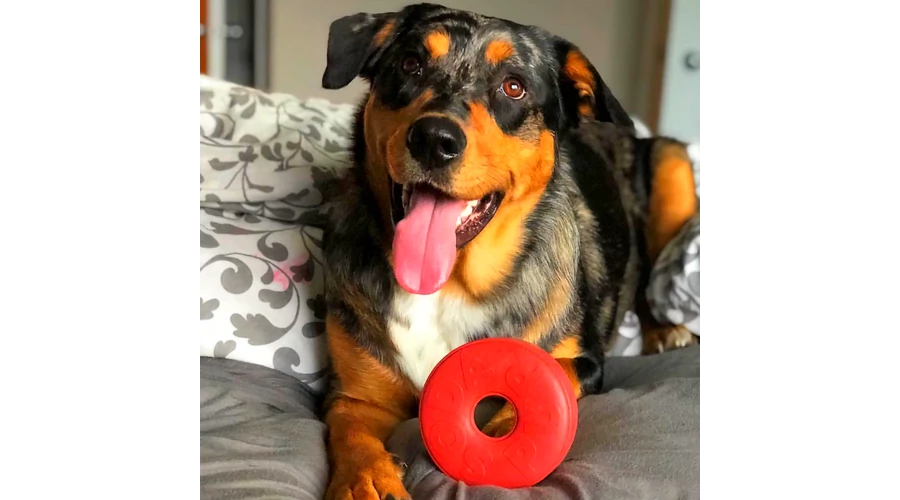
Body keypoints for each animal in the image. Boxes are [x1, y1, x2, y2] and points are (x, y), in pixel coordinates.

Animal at [318, 4, 699, 499]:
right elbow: (350, 429)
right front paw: (366, 481)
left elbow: (553, 381)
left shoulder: (583, 361)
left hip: (673, 168)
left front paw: (506, 434)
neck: (448, 284)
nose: (434, 140)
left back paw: (666, 330)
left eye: (514, 86)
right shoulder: (356, 393)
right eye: (409, 64)